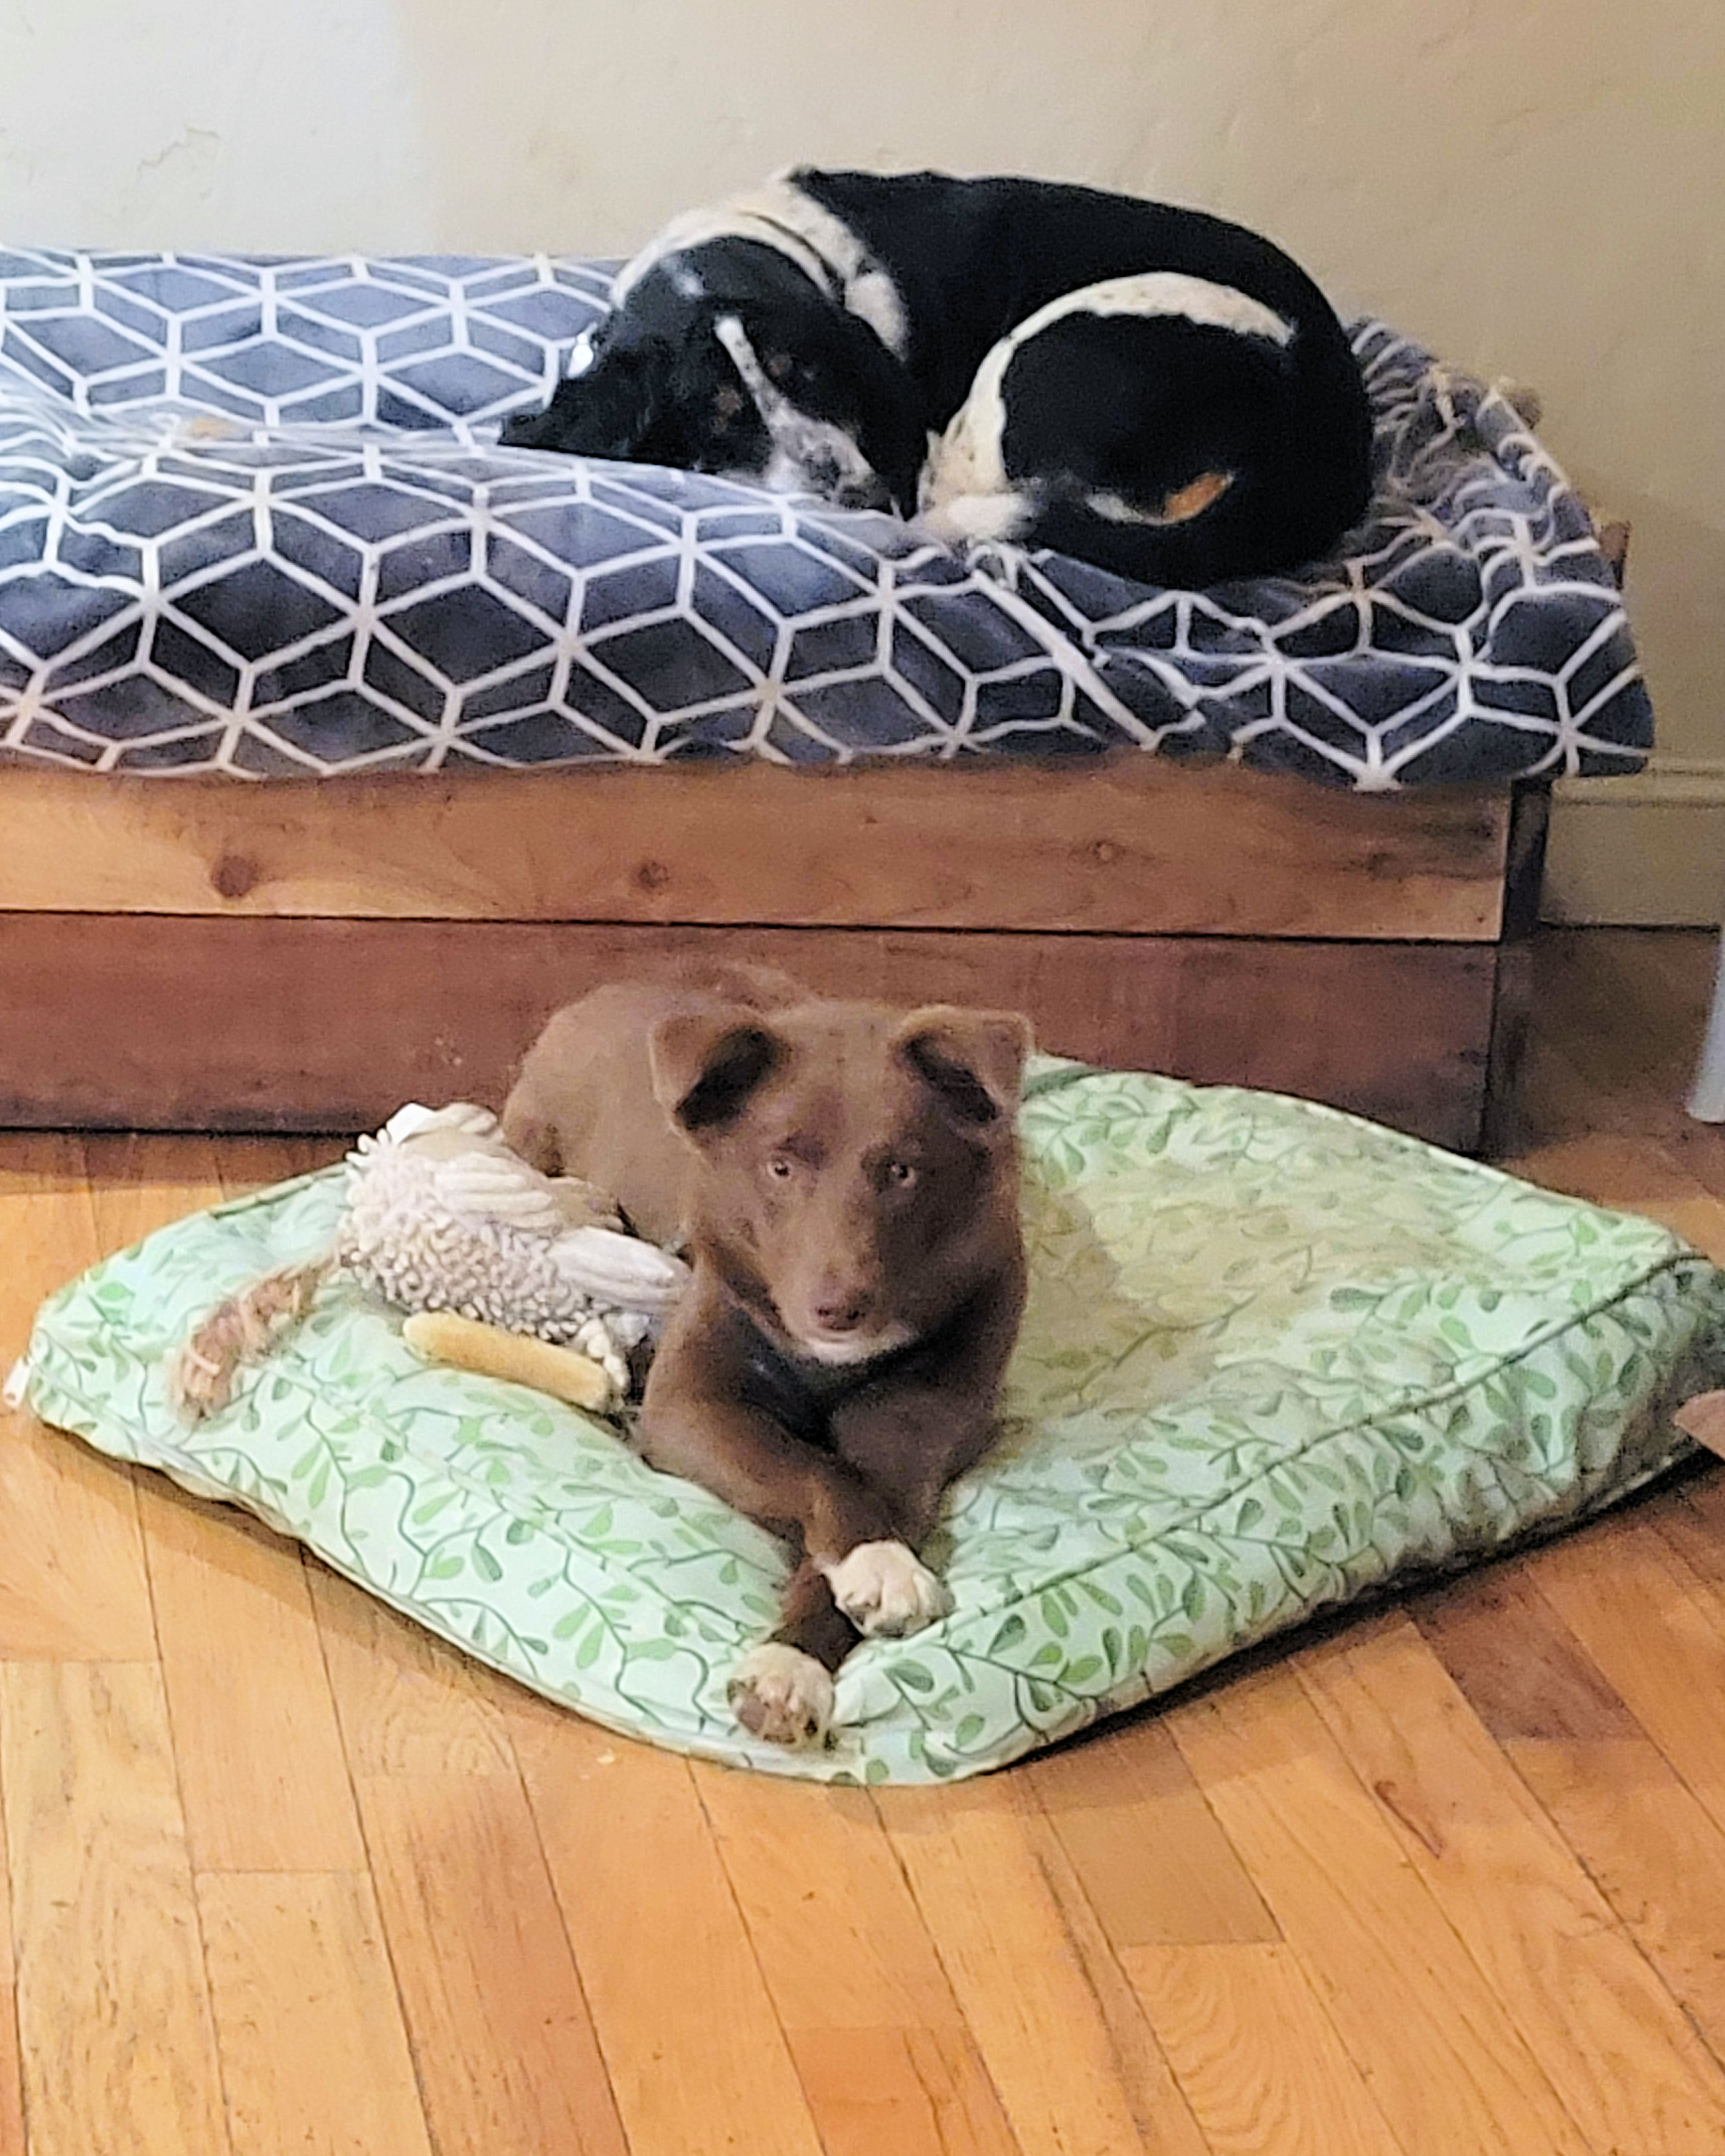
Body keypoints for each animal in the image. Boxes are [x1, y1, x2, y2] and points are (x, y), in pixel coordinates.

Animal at [502, 964, 1032, 1746]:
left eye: (902, 1171)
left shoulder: (916, 1435)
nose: (838, 1308)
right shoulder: (688, 1407)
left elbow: (860, 1500)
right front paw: (872, 1564)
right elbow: (818, 1473)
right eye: (779, 1167)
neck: (828, 1365)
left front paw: (794, 1663)